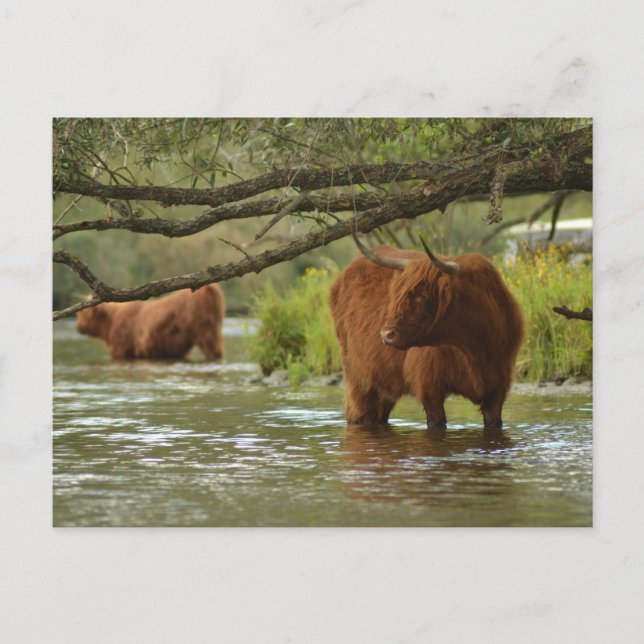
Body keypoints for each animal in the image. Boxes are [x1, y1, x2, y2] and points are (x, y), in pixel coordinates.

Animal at [329, 235, 523, 430]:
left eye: (423, 296)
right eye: (397, 294)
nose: (386, 334)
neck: (474, 350)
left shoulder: (497, 391)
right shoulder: (429, 389)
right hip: (359, 381)